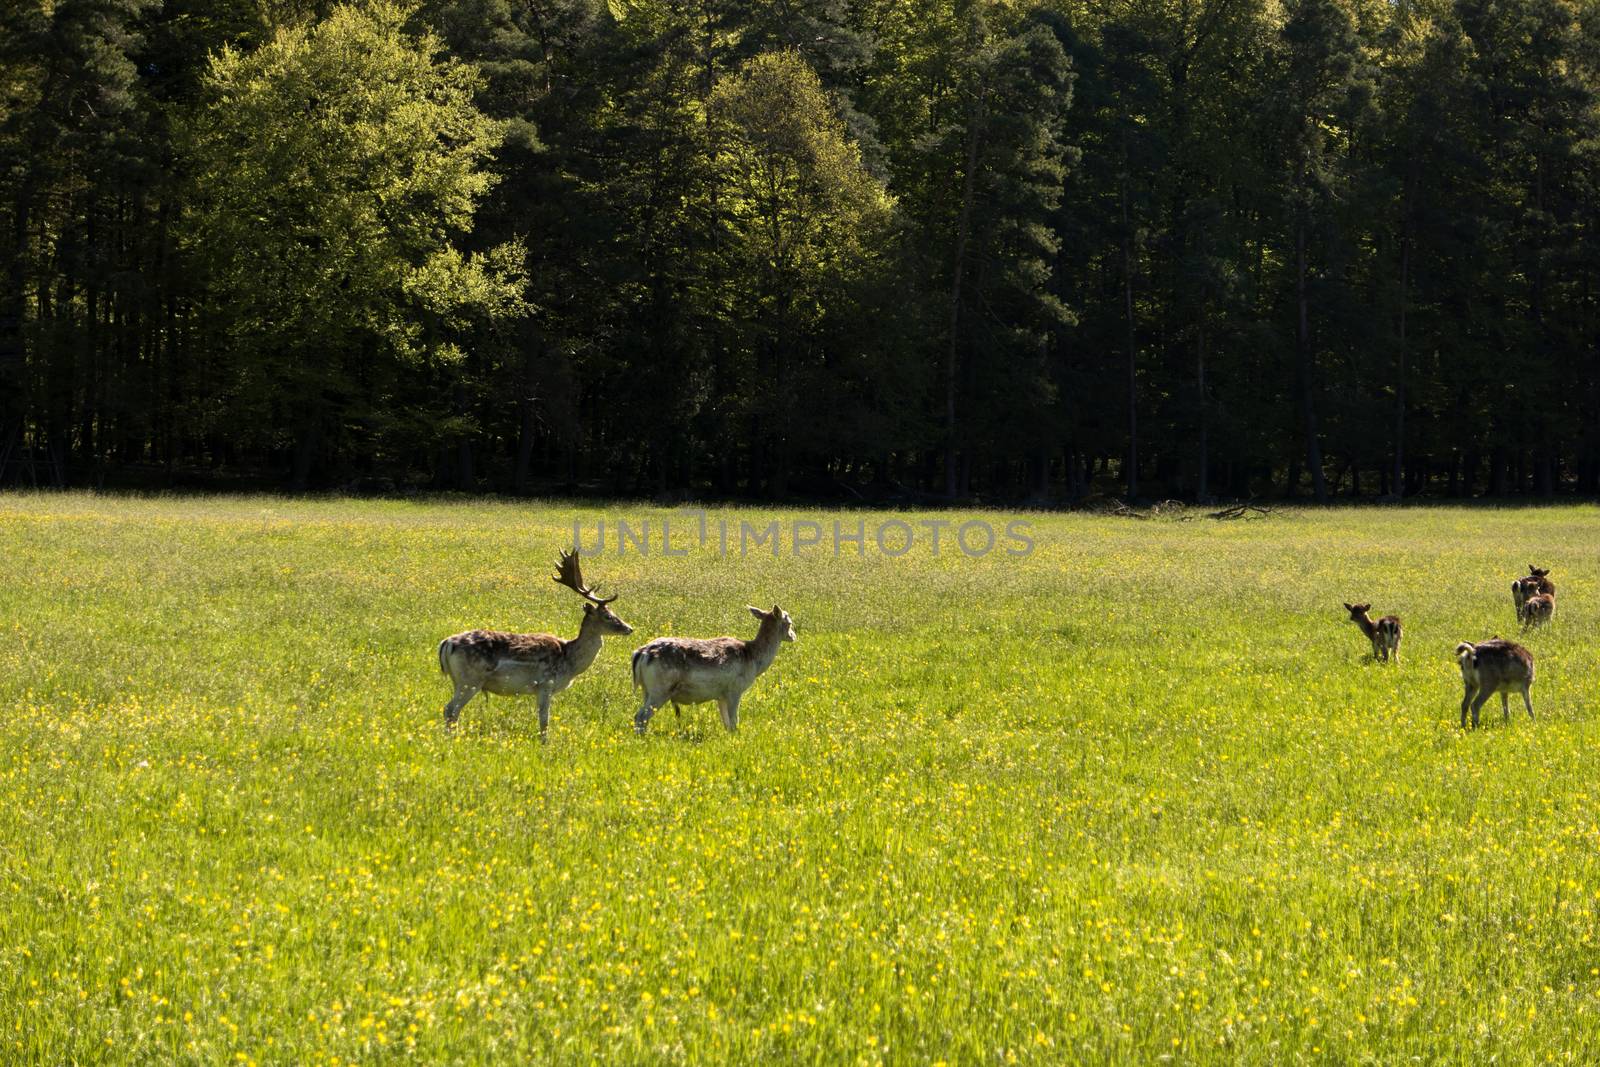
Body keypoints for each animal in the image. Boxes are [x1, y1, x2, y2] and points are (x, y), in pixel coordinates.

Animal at [444, 547, 636, 739]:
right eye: (608, 616)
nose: (629, 628)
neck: (569, 660)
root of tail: (447, 643)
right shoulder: (545, 683)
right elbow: (544, 721)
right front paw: (545, 743)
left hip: (461, 681)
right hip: (470, 680)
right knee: (450, 710)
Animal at [627, 604, 796, 739]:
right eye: (789, 622)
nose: (794, 636)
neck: (753, 660)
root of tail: (640, 653)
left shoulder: (721, 695)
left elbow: (726, 723)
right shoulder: (735, 689)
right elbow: (734, 721)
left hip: (646, 689)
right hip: (660, 689)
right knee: (640, 716)